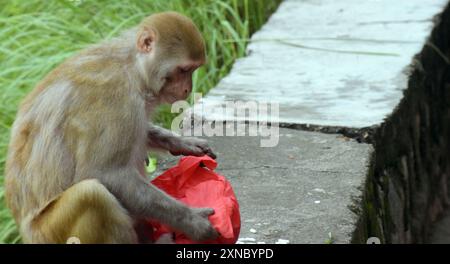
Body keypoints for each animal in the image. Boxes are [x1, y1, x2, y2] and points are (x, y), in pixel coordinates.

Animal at [4, 11, 220, 243]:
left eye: (193, 69)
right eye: (184, 70)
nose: (188, 89)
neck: (133, 69)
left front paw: (184, 142)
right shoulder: (115, 101)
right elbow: (105, 173)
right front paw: (193, 221)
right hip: (50, 232)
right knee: (92, 195)